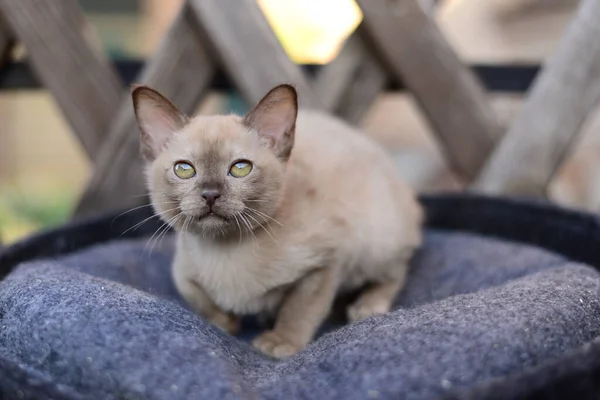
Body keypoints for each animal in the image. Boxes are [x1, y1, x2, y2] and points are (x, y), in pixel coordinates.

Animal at [132, 84, 422, 360]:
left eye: (240, 168)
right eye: (184, 169)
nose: (210, 194)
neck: (226, 250)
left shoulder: (325, 262)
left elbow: (298, 309)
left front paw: (281, 342)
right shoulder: (182, 271)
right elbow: (198, 298)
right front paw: (226, 324)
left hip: (377, 243)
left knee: (397, 271)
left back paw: (367, 306)